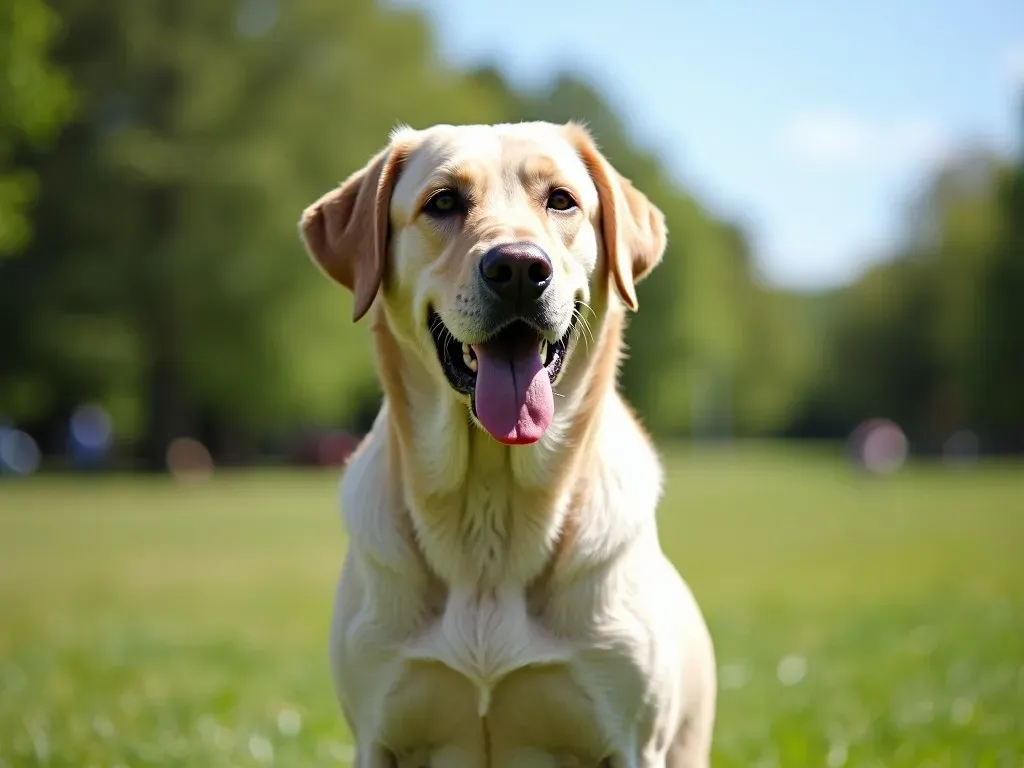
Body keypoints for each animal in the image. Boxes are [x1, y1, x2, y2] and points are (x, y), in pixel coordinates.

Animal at [299, 123, 716, 765]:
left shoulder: (633, 743)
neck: (489, 506)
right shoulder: (377, 738)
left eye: (562, 200)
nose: (519, 268)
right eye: (444, 201)